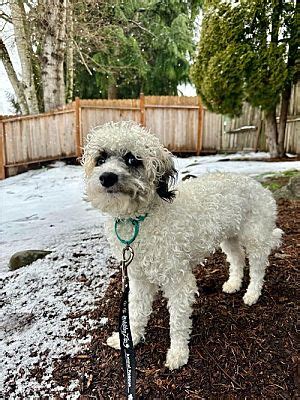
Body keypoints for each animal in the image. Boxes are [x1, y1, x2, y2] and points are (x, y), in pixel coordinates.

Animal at [82, 120, 284, 370]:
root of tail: (260, 186)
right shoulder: (139, 279)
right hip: (229, 237)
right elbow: (136, 310)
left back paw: (252, 294)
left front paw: (178, 353)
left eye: (131, 159)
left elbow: (178, 321)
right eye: (100, 158)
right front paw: (131, 339)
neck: (140, 218)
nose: (107, 177)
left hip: (254, 237)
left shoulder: (178, 280)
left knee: (257, 267)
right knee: (237, 259)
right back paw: (233, 284)